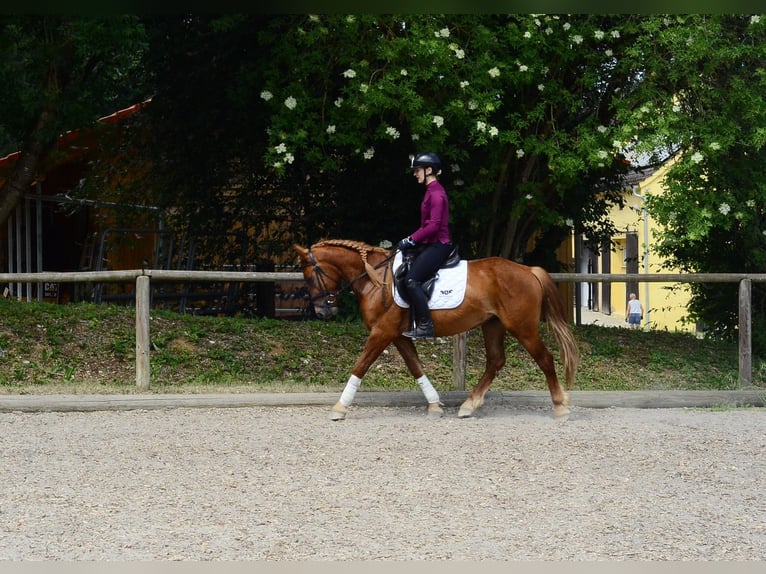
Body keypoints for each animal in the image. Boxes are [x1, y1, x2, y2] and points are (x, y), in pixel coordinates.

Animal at [295, 239, 578, 420]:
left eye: (309, 276)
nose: (324, 313)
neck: (375, 278)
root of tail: (529, 270)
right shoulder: (396, 334)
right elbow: (415, 365)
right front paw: (434, 405)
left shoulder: (382, 332)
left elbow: (360, 365)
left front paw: (339, 408)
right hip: (493, 324)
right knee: (496, 361)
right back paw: (469, 405)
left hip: (522, 327)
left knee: (544, 358)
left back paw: (560, 406)